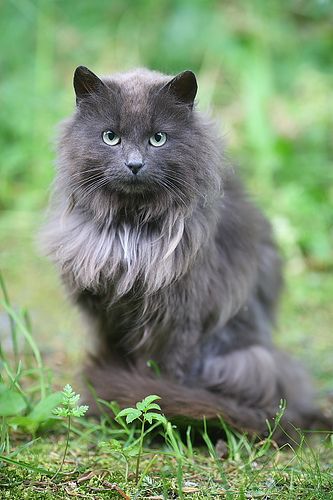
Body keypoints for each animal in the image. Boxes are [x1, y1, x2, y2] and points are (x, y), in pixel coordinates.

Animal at [42, 65, 330, 438]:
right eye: (110, 137)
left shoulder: (181, 318)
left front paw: (154, 421)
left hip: (247, 359)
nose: (134, 164)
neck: (130, 231)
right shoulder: (106, 315)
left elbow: (165, 377)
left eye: (158, 139)